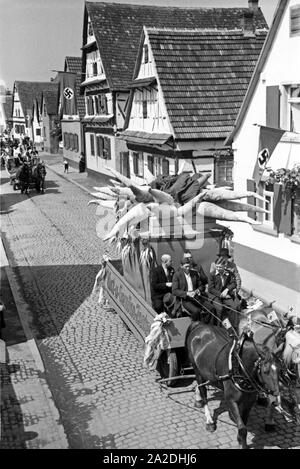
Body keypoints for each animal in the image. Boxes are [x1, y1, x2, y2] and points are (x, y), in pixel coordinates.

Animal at [185, 320, 282, 448]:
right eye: (265, 371)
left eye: (280, 370)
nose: (276, 400)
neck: (239, 366)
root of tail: (199, 325)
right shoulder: (231, 400)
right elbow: (242, 428)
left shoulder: (249, 401)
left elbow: (243, 424)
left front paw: (240, 440)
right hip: (197, 370)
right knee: (203, 392)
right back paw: (209, 420)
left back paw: (198, 400)